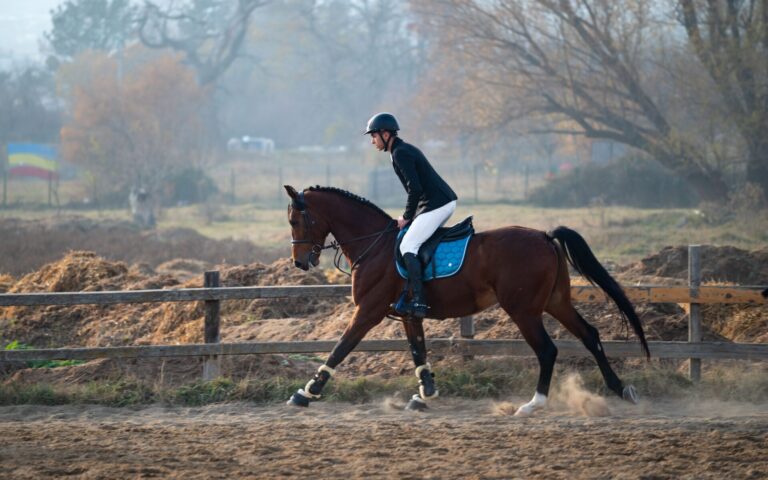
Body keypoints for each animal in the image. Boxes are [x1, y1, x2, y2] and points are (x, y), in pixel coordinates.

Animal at [283, 185, 649, 414]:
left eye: (295, 220)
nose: (299, 263)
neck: (374, 245)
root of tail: (544, 236)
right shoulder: (408, 314)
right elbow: (418, 352)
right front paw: (425, 395)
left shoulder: (368, 311)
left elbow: (341, 347)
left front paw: (306, 392)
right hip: (555, 302)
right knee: (590, 335)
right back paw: (621, 389)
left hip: (523, 310)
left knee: (548, 350)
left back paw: (534, 404)